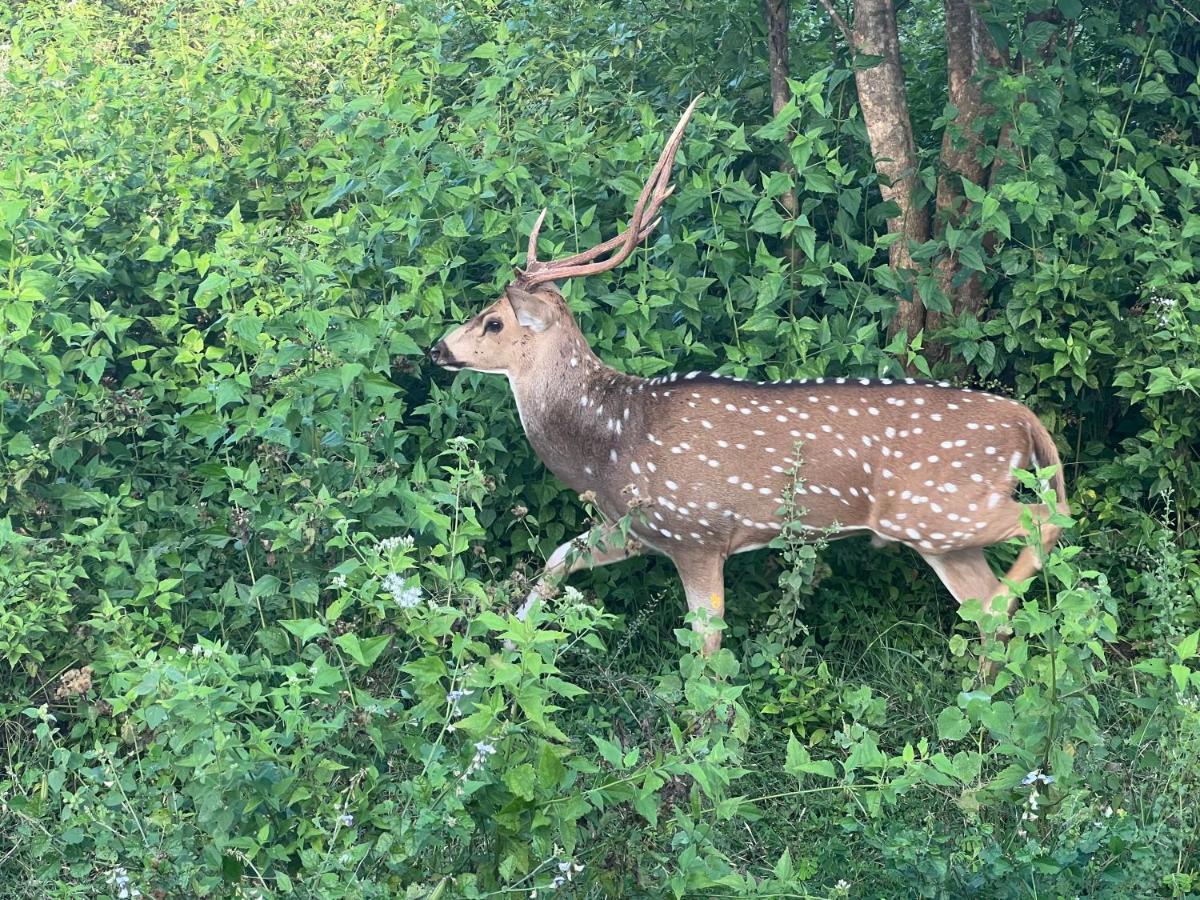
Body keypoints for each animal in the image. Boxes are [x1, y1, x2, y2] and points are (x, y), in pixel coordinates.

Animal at [432, 98, 1070, 662]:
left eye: (493, 320)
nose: (439, 349)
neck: (610, 445)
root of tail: (1025, 423)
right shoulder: (636, 529)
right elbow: (558, 556)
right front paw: (510, 646)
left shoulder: (696, 530)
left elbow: (707, 650)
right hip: (942, 531)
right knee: (985, 610)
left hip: (939, 505)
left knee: (1047, 522)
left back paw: (1014, 606)